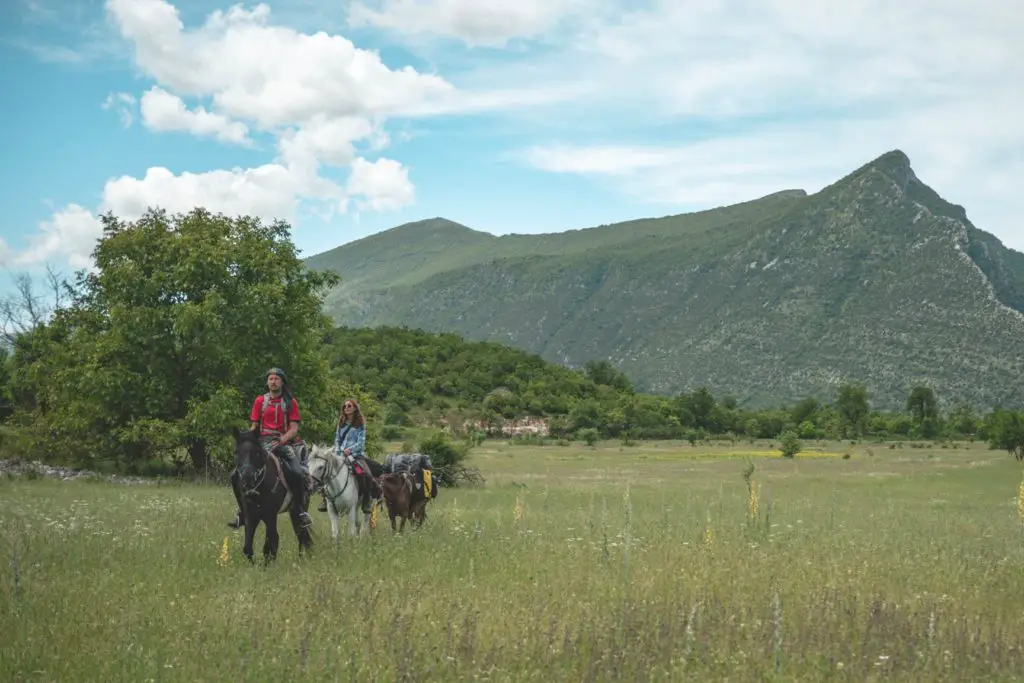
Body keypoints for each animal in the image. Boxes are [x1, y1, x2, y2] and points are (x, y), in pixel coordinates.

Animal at [232, 428, 311, 565]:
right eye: (237, 453)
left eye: (257, 453)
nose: (247, 480)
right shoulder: (251, 516)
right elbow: (247, 547)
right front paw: (254, 565)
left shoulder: (270, 515)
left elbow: (271, 542)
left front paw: (267, 565)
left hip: (298, 510)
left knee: (300, 532)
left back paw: (302, 558)